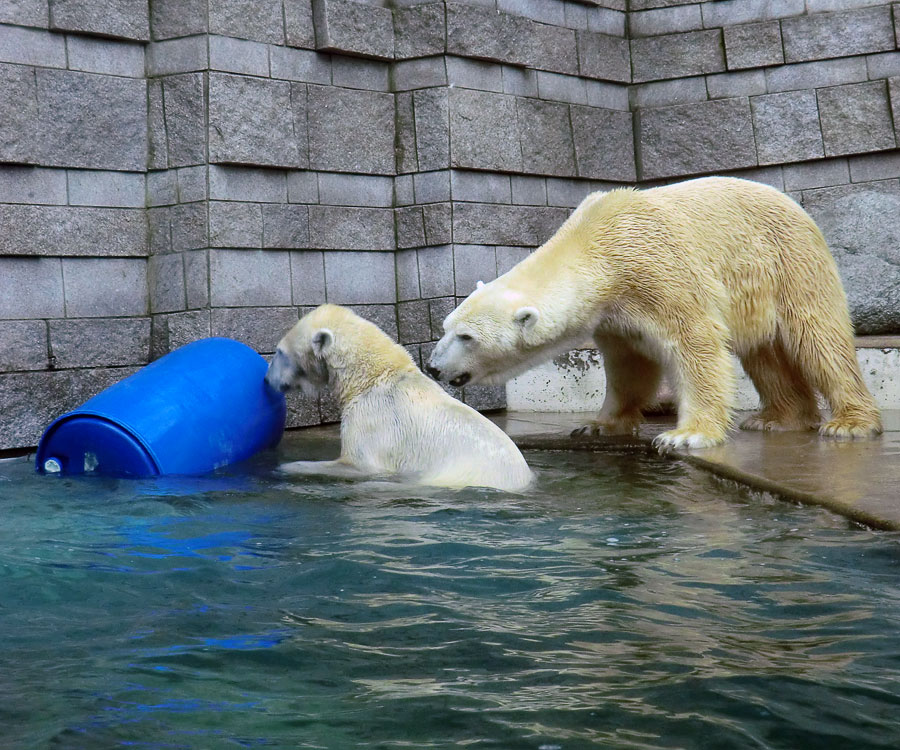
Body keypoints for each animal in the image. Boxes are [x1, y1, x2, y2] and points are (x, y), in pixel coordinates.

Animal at [268, 306, 536, 494]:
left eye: (279, 352)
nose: (267, 378)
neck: (371, 377)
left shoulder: (373, 418)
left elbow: (360, 464)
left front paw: (291, 466)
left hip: (454, 474)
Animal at [426, 178, 884, 446]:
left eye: (467, 337)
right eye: (446, 326)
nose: (432, 367)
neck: (596, 244)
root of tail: (795, 204)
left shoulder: (659, 273)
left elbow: (696, 344)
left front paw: (686, 435)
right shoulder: (614, 313)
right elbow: (629, 365)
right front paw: (598, 424)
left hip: (787, 260)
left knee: (818, 338)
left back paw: (849, 423)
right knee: (764, 354)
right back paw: (779, 419)